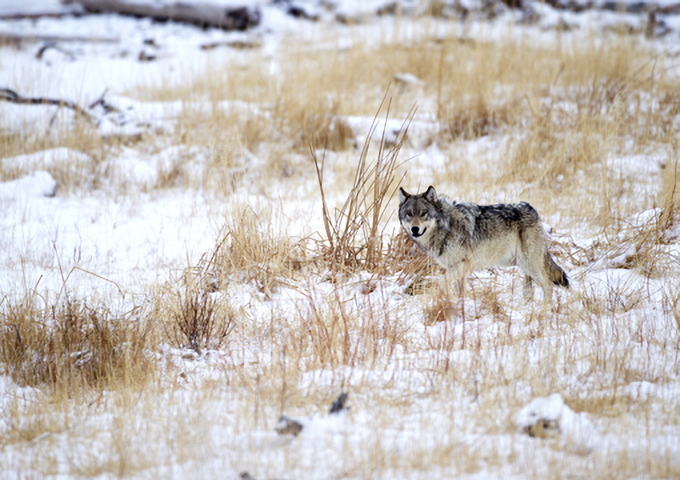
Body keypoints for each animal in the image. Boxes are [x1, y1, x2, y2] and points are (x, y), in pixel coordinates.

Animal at [398, 186, 568, 302]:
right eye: (409, 214)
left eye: (423, 213)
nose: (414, 229)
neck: (446, 226)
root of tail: (532, 209)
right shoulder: (457, 269)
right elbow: (458, 290)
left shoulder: (462, 265)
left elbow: (441, 281)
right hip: (524, 266)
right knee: (530, 290)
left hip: (531, 264)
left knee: (548, 285)